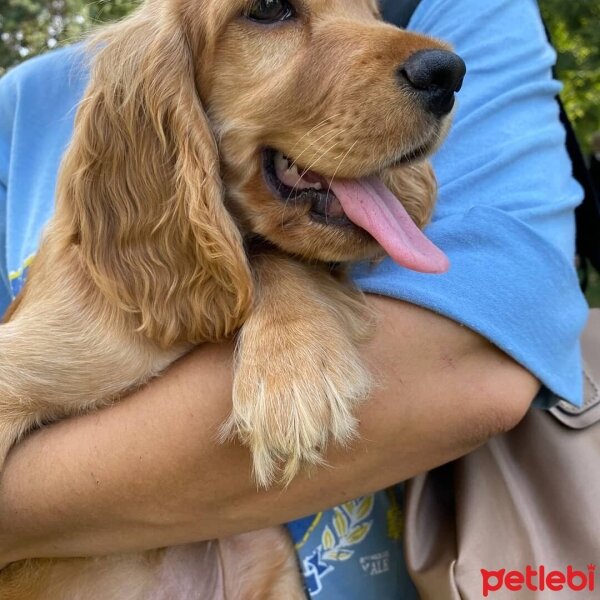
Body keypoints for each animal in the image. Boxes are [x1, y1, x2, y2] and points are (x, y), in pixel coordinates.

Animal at [0, 0, 464, 596]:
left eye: (372, 11)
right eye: (268, 9)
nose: (448, 73)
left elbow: (272, 256)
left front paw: (291, 370)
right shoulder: (14, 373)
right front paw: (292, 374)